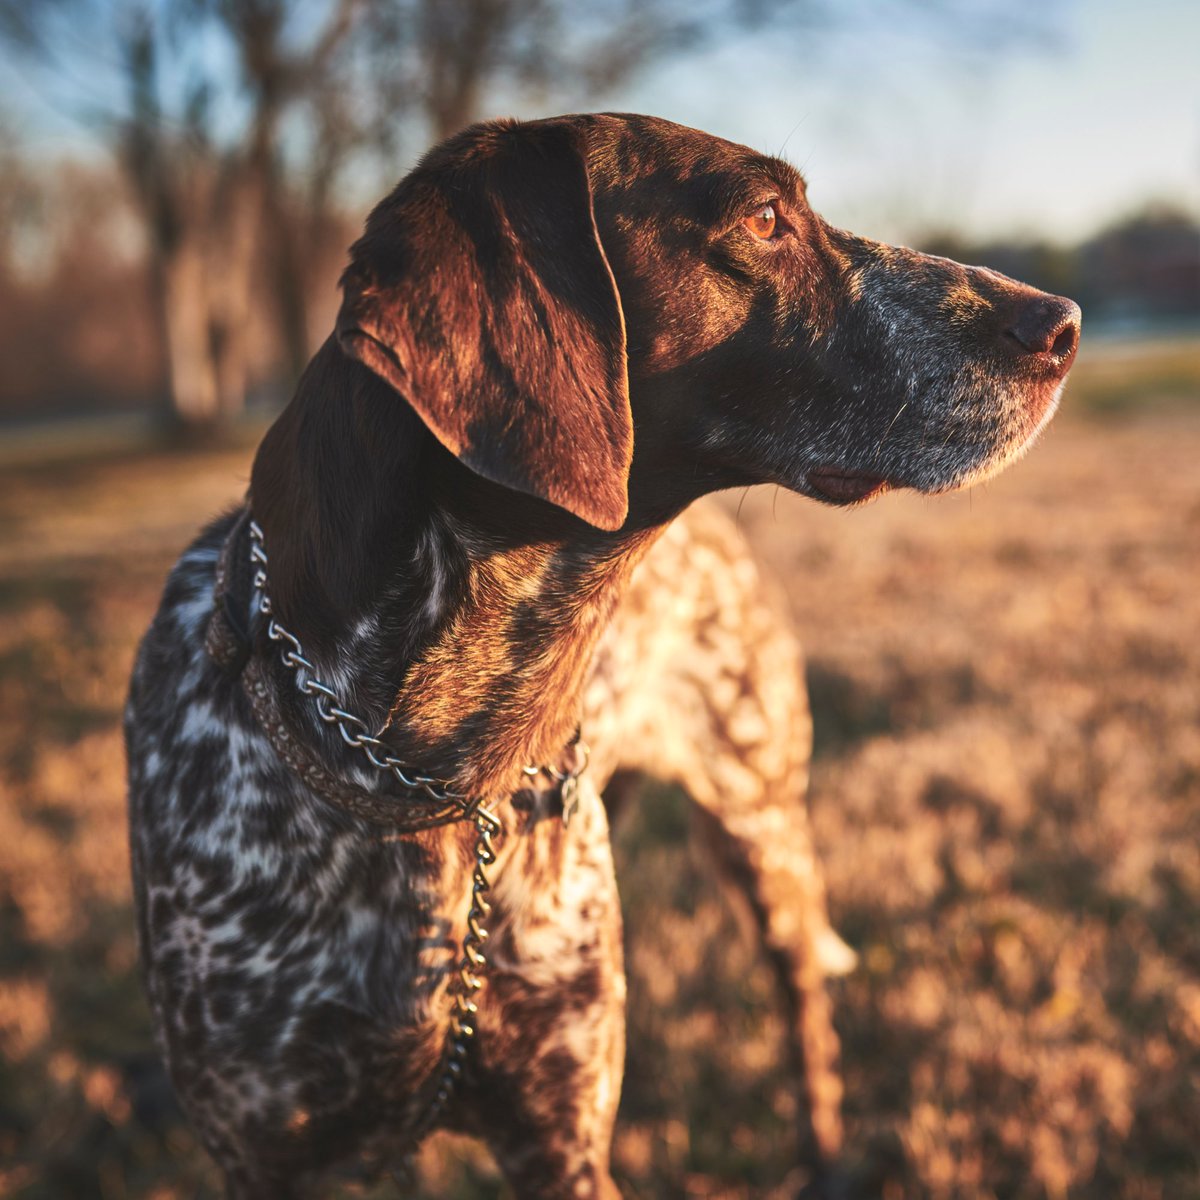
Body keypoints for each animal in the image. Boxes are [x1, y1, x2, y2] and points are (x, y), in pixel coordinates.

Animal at [126, 114, 1084, 1200]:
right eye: (766, 217)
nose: (1063, 324)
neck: (418, 762)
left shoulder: (563, 1138)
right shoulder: (273, 1150)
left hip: (765, 835)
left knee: (806, 1016)